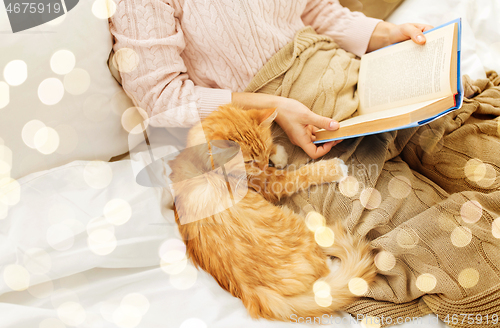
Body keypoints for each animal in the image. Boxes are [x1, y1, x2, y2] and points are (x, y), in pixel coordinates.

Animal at [168, 104, 376, 320]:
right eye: (248, 161)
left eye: (262, 152)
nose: (262, 165)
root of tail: (256, 293)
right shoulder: (270, 184)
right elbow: (300, 175)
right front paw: (332, 168)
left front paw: (278, 153)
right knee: (324, 268)